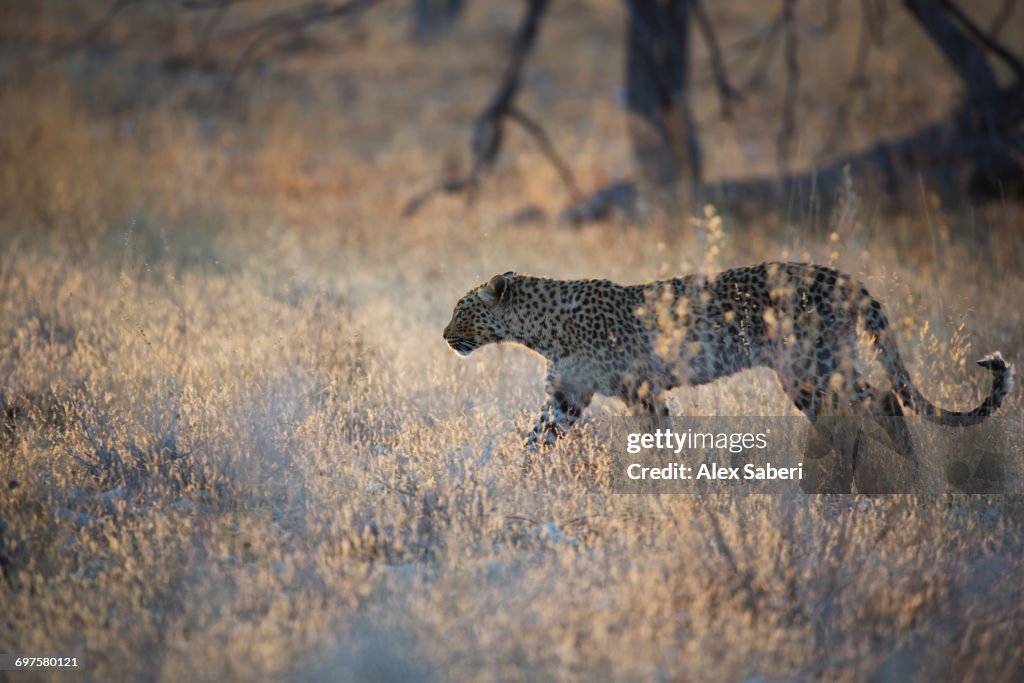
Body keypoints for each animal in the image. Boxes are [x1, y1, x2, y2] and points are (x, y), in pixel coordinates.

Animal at [442, 262, 1015, 491]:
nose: (445, 335)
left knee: (878, 404)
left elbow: (658, 442)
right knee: (866, 409)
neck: (539, 327)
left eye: (460, 309)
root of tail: (842, 277)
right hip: (820, 368)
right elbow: (534, 439)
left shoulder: (640, 390)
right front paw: (510, 482)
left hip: (810, 366)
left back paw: (885, 477)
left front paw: (668, 487)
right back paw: (878, 476)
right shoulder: (566, 396)